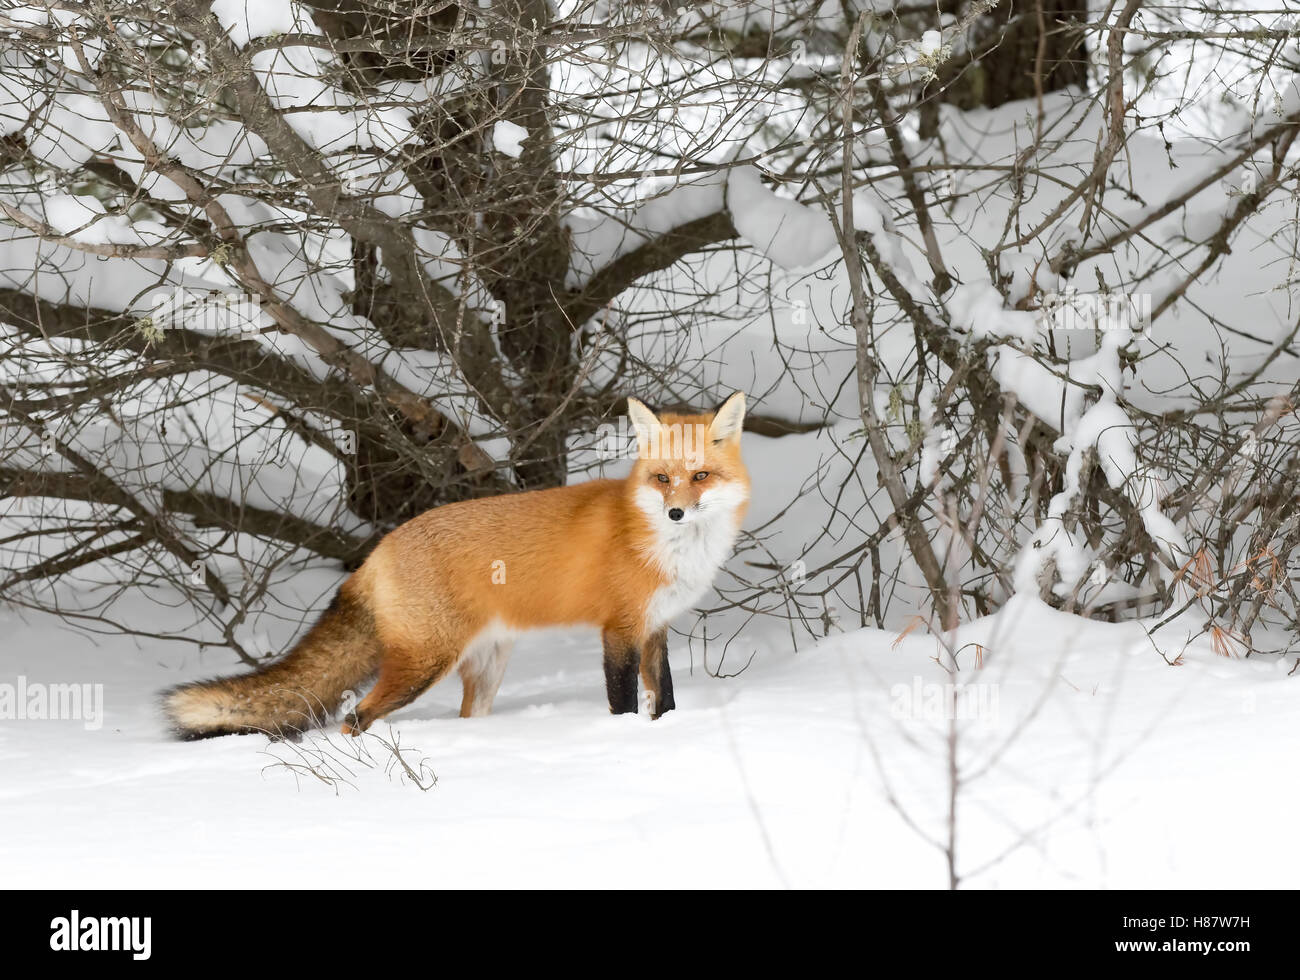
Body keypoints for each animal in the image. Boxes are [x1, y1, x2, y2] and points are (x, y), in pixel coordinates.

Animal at [162, 392, 750, 739]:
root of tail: (378, 550)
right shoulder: (619, 629)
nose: (675, 512)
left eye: (700, 477)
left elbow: (665, 697)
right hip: (424, 663)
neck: (667, 547)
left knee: (463, 717)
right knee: (354, 718)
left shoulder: (655, 627)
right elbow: (624, 702)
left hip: (486, 666)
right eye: (662, 478)